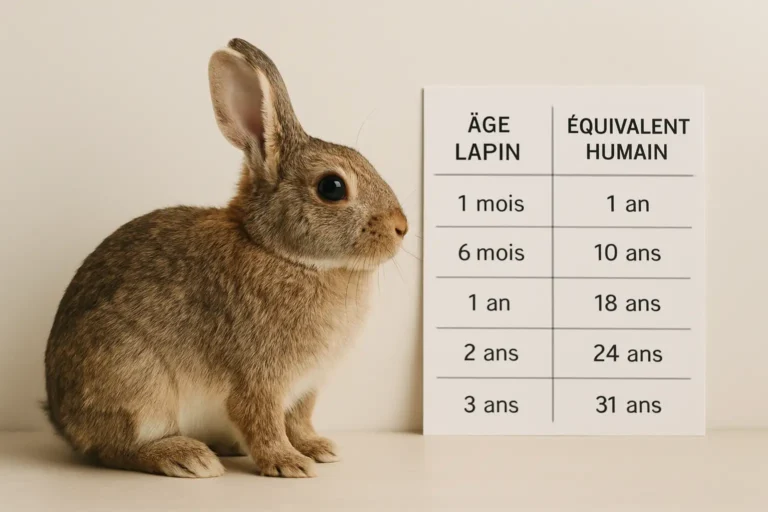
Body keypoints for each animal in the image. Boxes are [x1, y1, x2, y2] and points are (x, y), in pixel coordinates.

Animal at [43, 38, 408, 479]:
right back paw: (188, 457)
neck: (284, 254)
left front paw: (318, 448)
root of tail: (61, 420)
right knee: (115, 448)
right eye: (332, 187)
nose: (402, 226)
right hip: (135, 381)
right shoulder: (259, 378)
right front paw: (288, 463)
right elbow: (262, 421)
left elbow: (299, 419)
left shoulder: (305, 387)